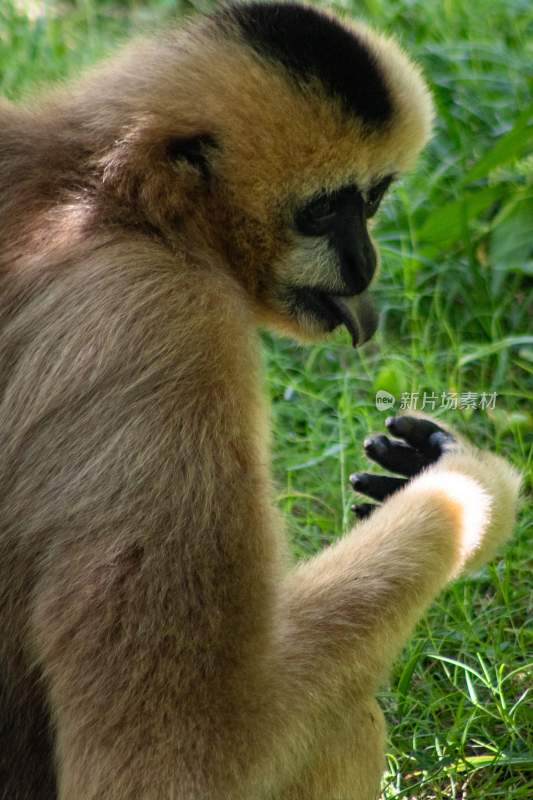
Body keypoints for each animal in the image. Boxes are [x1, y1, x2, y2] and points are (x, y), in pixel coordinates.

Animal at [0, 1, 516, 800]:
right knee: (343, 715)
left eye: (372, 200)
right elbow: (180, 761)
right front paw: (468, 490)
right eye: (324, 211)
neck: (111, 200)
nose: (365, 261)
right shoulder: (163, 324)